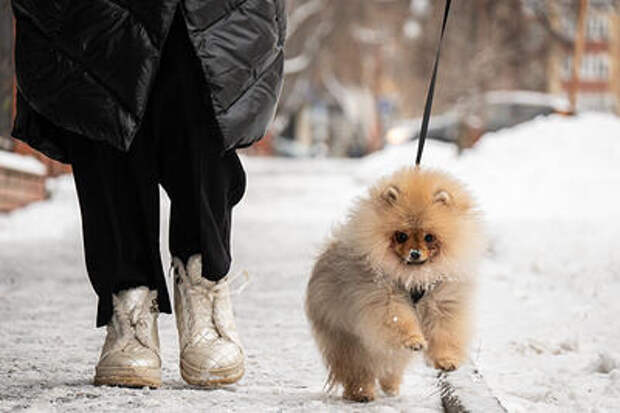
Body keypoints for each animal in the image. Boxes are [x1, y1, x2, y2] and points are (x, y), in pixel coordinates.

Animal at [306, 166, 484, 400]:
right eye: (401, 236)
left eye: (429, 237)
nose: (415, 253)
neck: (414, 276)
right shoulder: (383, 298)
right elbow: (398, 319)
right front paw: (414, 339)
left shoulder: (442, 302)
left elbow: (444, 331)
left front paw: (446, 360)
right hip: (348, 339)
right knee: (358, 367)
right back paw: (362, 392)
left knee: (392, 362)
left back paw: (391, 384)